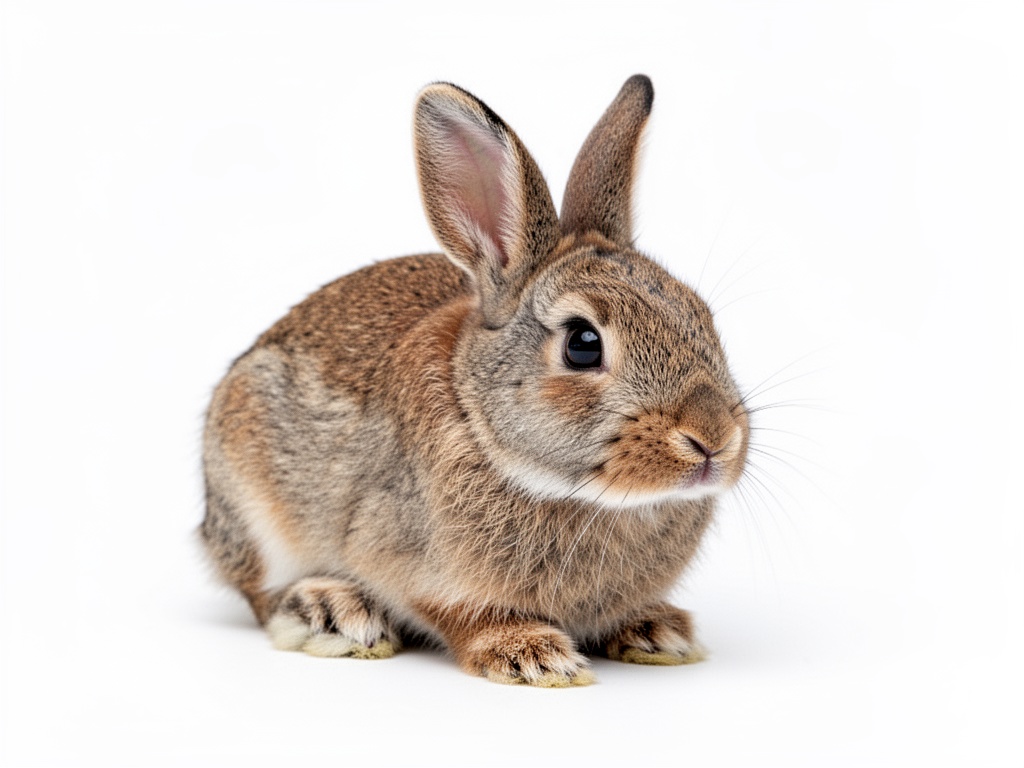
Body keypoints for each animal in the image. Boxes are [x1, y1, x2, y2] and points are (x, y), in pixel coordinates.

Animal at [201, 74, 750, 687]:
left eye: (701, 315)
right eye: (583, 343)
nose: (715, 439)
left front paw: (656, 630)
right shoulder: (411, 561)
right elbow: (462, 613)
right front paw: (533, 655)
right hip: (252, 498)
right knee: (259, 591)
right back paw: (330, 610)